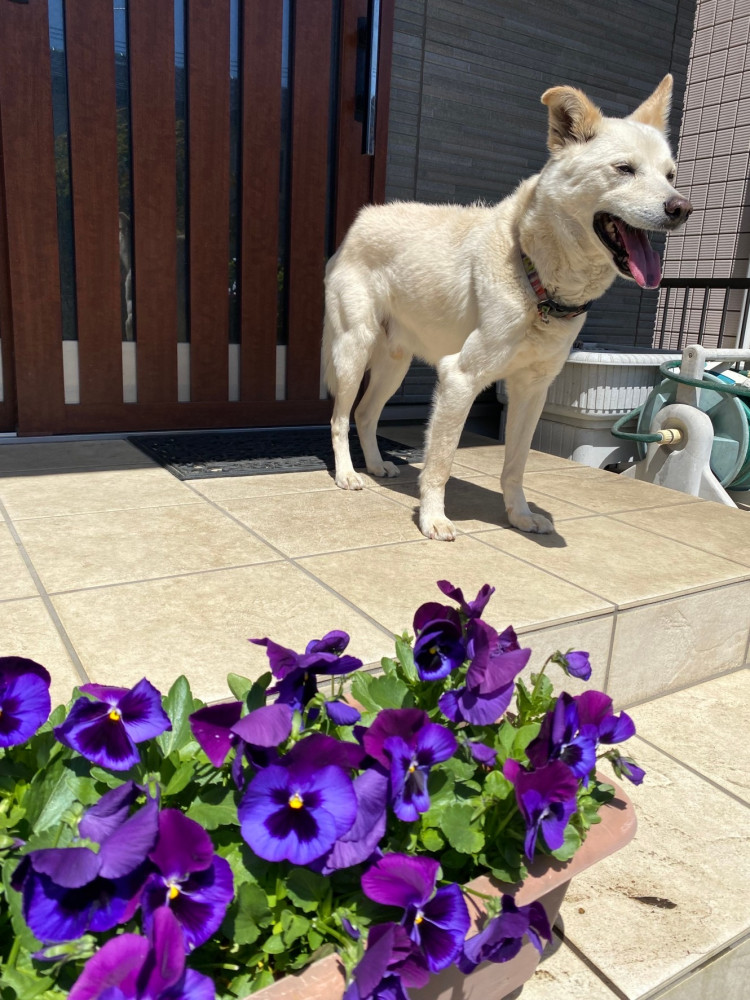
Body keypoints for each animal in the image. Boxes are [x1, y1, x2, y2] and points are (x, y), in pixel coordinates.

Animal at [324, 76, 692, 540]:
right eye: (624, 169)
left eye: (670, 175)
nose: (682, 208)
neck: (535, 276)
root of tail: (362, 219)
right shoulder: (459, 378)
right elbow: (440, 462)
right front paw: (433, 518)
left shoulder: (532, 389)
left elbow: (516, 464)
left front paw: (519, 516)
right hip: (353, 350)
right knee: (340, 417)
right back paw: (347, 474)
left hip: (395, 362)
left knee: (367, 413)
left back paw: (374, 465)